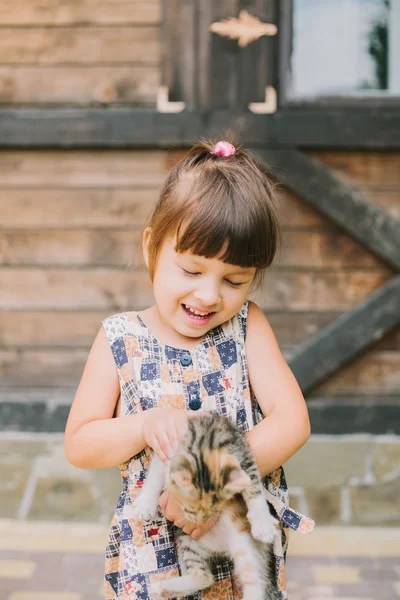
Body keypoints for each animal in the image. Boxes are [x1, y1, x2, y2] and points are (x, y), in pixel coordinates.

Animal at [133, 412, 280, 600]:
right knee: (205, 577)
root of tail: (221, 547)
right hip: (188, 540)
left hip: (244, 542)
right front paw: (145, 503)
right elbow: (155, 474)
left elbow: (253, 485)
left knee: (255, 580)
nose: (201, 523)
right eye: (188, 510)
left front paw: (262, 522)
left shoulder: (242, 451)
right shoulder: (168, 449)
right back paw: (164, 588)